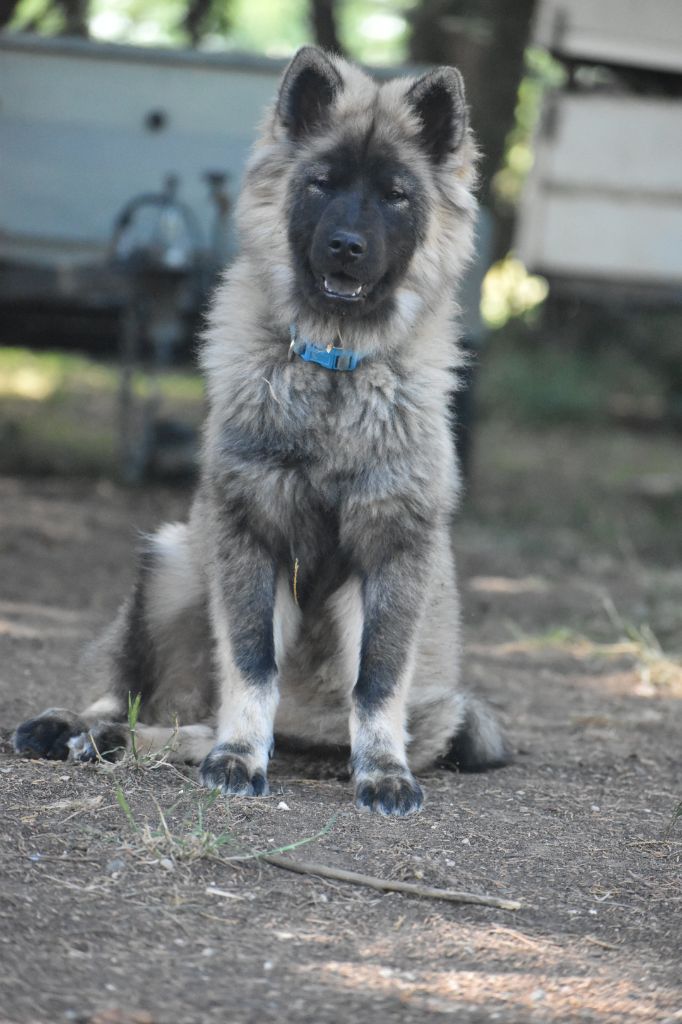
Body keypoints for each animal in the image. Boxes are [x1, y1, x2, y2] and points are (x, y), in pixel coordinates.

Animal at [13, 48, 507, 815]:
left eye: (395, 195)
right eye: (322, 183)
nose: (346, 247)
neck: (334, 369)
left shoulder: (392, 550)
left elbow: (378, 682)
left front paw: (384, 771)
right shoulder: (249, 534)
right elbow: (250, 668)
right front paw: (241, 756)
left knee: (182, 723)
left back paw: (113, 742)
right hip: (173, 563)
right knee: (137, 696)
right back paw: (81, 727)